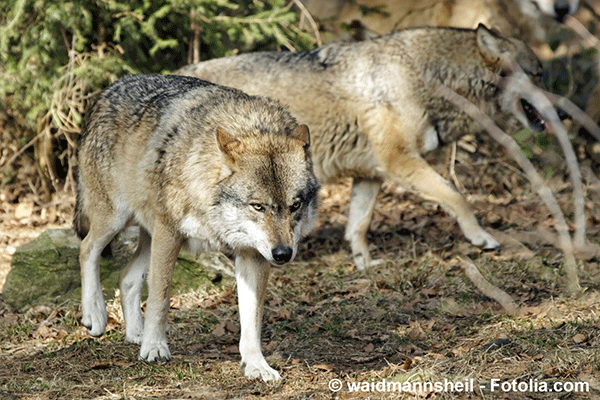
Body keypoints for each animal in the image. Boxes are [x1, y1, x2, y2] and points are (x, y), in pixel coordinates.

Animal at [75, 74, 318, 382]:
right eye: (258, 207)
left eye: (295, 205)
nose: (283, 254)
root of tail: (109, 89)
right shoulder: (169, 233)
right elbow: (160, 298)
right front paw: (154, 348)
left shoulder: (252, 255)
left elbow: (252, 320)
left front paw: (256, 365)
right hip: (116, 219)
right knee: (87, 249)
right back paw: (95, 315)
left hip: (148, 233)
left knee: (126, 276)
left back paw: (135, 334)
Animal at [176, 24, 548, 268]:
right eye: (539, 75)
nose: (560, 113)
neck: (424, 77)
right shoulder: (399, 162)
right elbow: (457, 195)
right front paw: (481, 237)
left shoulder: (371, 174)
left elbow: (358, 226)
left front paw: (364, 265)